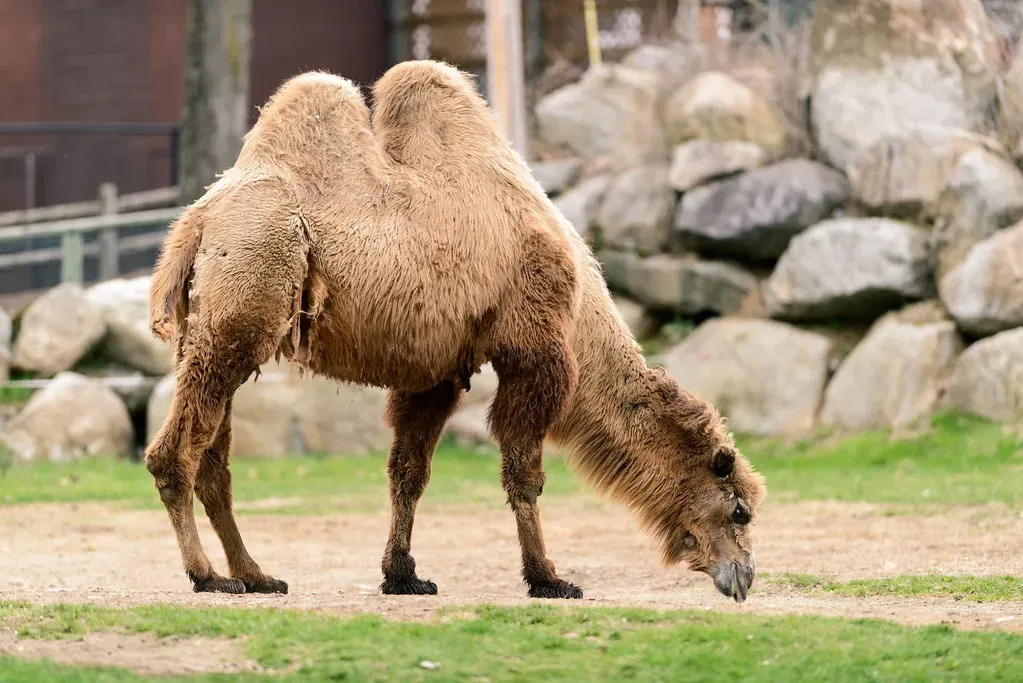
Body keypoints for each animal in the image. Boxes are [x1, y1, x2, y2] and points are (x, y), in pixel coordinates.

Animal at [145, 60, 766, 602]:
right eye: (740, 509)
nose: (743, 577)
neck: (580, 309)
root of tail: (196, 222)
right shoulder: (533, 348)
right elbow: (523, 473)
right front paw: (549, 579)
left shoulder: (437, 371)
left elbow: (408, 471)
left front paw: (403, 575)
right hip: (246, 295)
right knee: (174, 454)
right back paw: (208, 576)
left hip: (215, 325)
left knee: (214, 460)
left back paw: (256, 574)